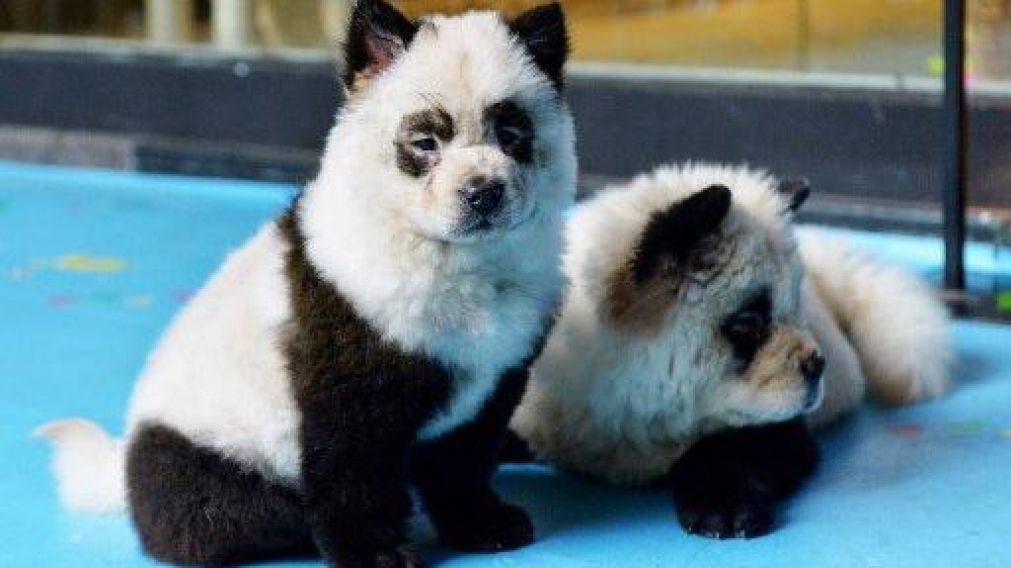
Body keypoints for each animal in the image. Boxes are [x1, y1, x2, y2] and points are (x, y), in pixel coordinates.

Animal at [510, 162, 951, 539]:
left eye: (795, 307)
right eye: (748, 323)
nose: (817, 365)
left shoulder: (779, 423)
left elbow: (741, 445)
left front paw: (723, 510)